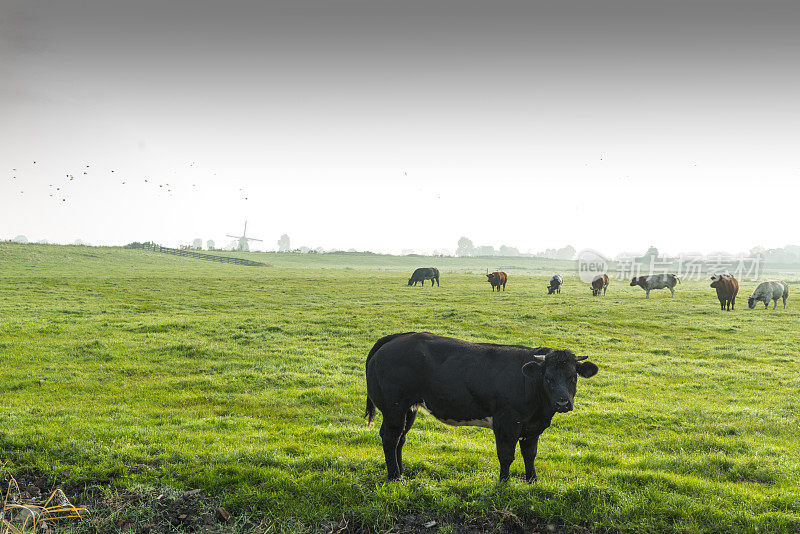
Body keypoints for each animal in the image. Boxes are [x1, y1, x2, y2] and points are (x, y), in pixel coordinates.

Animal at [366, 332, 596, 484]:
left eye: (572, 377)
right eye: (548, 378)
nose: (562, 403)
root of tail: (396, 338)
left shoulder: (532, 427)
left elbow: (530, 454)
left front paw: (533, 481)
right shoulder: (506, 422)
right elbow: (506, 455)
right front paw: (504, 483)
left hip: (409, 408)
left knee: (400, 439)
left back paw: (401, 473)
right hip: (394, 407)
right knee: (391, 438)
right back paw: (395, 477)